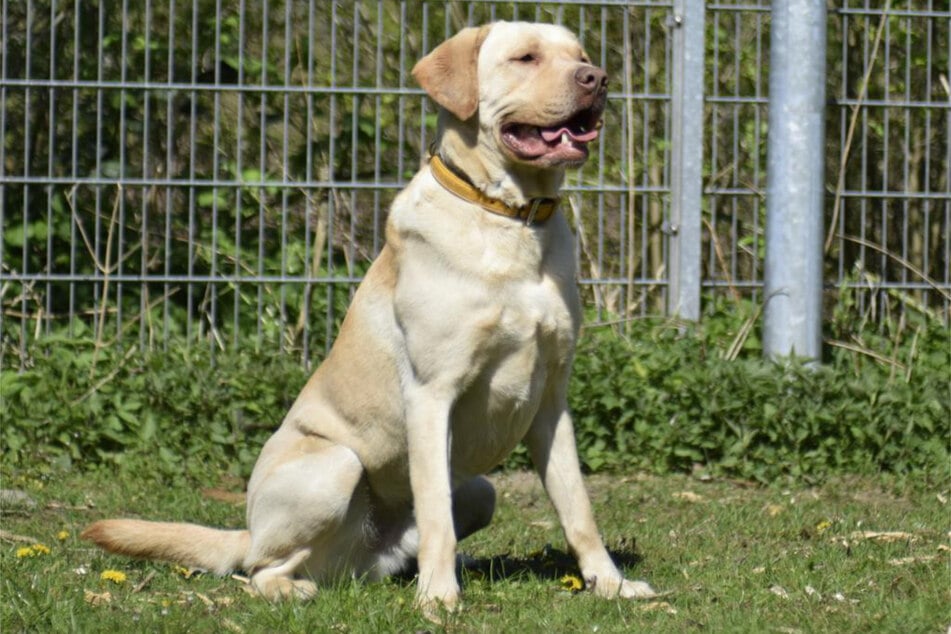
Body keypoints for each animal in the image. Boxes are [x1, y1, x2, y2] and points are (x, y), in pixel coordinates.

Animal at [83, 22, 656, 608]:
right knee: (259, 567)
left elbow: (577, 506)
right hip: (336, 467)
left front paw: (610, 582)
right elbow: (435, 512)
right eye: (526, 57)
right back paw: (298, 588)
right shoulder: (431, 395)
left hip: (479, 490)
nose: (597, 78)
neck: (513, 220)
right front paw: (438, 599)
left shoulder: (551, 402)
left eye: (581, 55)